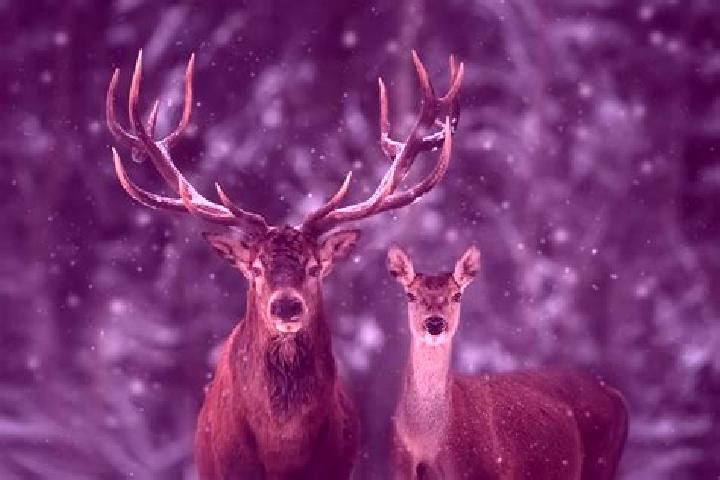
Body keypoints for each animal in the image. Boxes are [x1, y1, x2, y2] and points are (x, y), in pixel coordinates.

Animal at [386, 245, 628, 480]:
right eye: (410, 295)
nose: (435, 323)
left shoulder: (481, 471)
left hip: (600, 463)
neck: (428, 440)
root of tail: (613, 393)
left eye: (457, 295)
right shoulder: (400, 469)